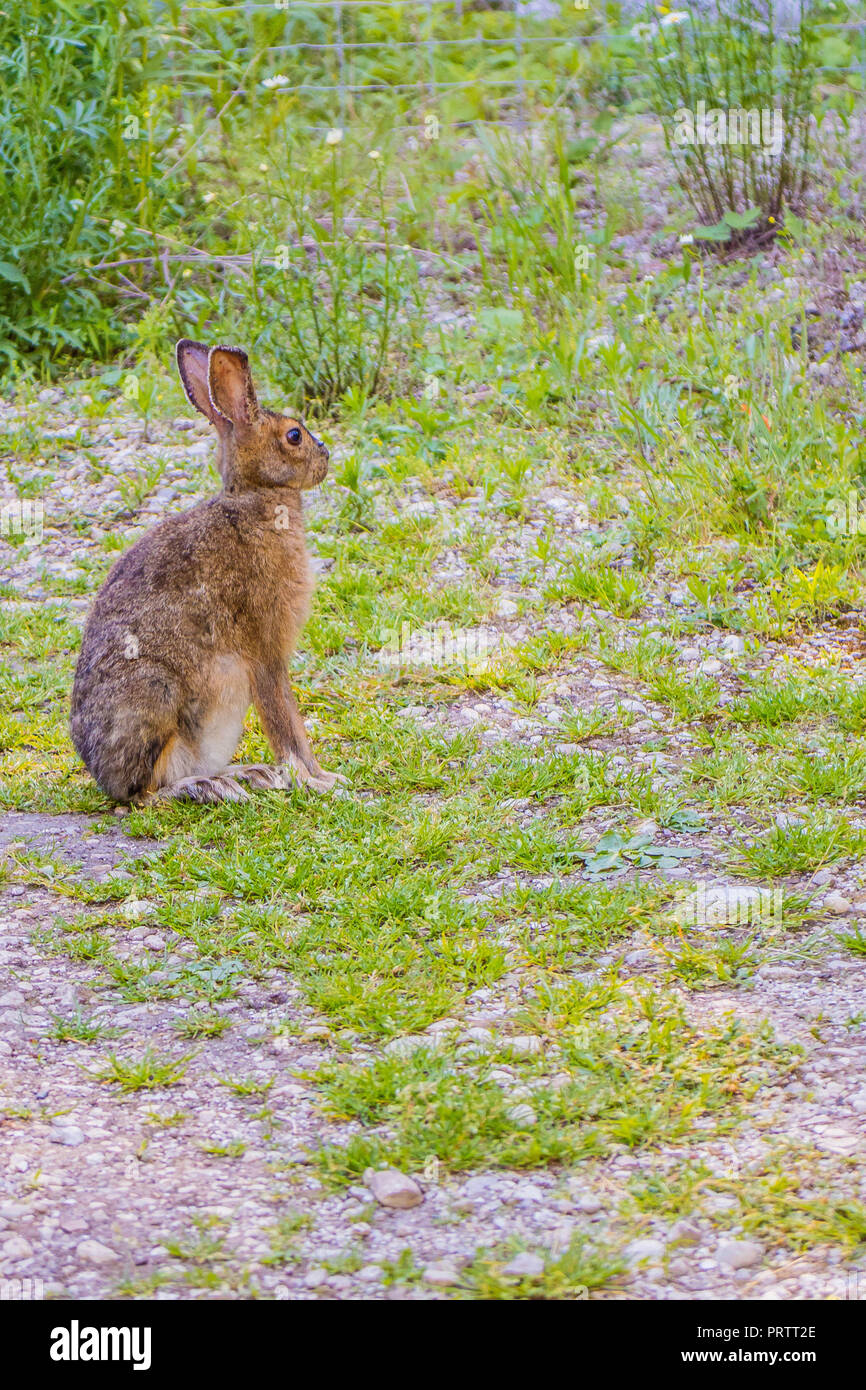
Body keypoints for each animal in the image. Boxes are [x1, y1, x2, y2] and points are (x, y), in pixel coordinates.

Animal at [70, 339, 344, 805]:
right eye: (294, 435)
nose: (324, 455)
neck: (255, 497)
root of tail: (103, 776)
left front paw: (320, 778)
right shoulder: (265, 650)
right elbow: (285, 721)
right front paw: (318, 781)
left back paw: (247, 774)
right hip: (156, 696)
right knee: (146, 793)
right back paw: (210, 786)